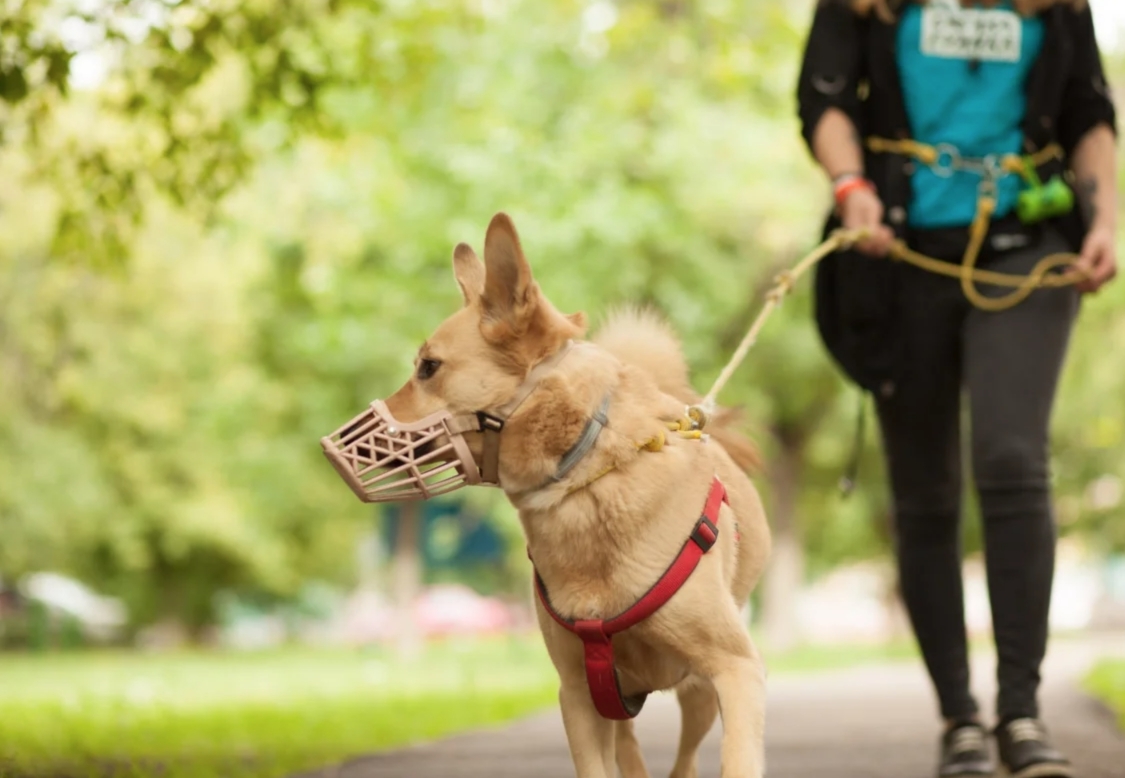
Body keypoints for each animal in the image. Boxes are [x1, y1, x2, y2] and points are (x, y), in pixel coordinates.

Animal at [346, 214, 765, 778]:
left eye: (428, 367)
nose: (329, 444)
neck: (585, 481)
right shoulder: (579, 695)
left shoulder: (736, 671)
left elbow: (737, 757)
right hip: (617, 698)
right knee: (632, 753)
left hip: (697, 694)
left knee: (684, 760)